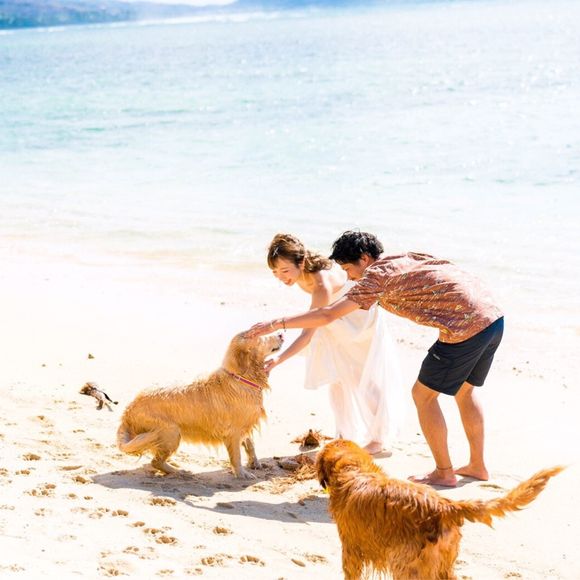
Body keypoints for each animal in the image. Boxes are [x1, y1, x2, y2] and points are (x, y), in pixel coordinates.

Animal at [117, 331, 283, 478]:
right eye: (262, 337)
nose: (281, 334)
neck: (241, 377)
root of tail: (127, 412)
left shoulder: (245, 424)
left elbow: (250, 444)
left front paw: (255, 463)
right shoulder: (234, 431)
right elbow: (236, 456)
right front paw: (242, 474)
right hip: (171, 432)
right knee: (155, 461)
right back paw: (179, 472)